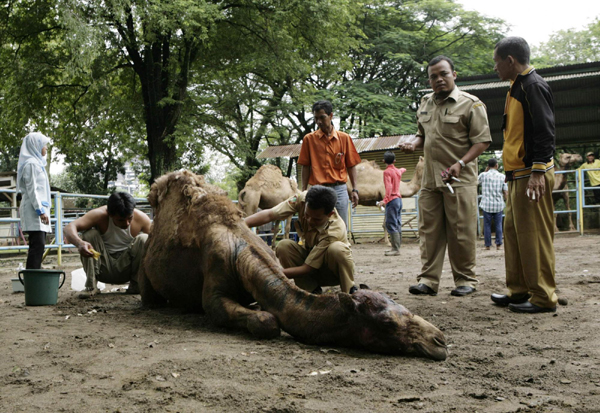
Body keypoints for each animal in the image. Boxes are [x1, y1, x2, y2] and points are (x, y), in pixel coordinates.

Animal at [138, 169, 448, 358]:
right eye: (386, 323)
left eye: (404, 309)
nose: (440, 340)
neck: (241, 251)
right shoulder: (215, 276)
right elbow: (265, 320)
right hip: (146, 262)